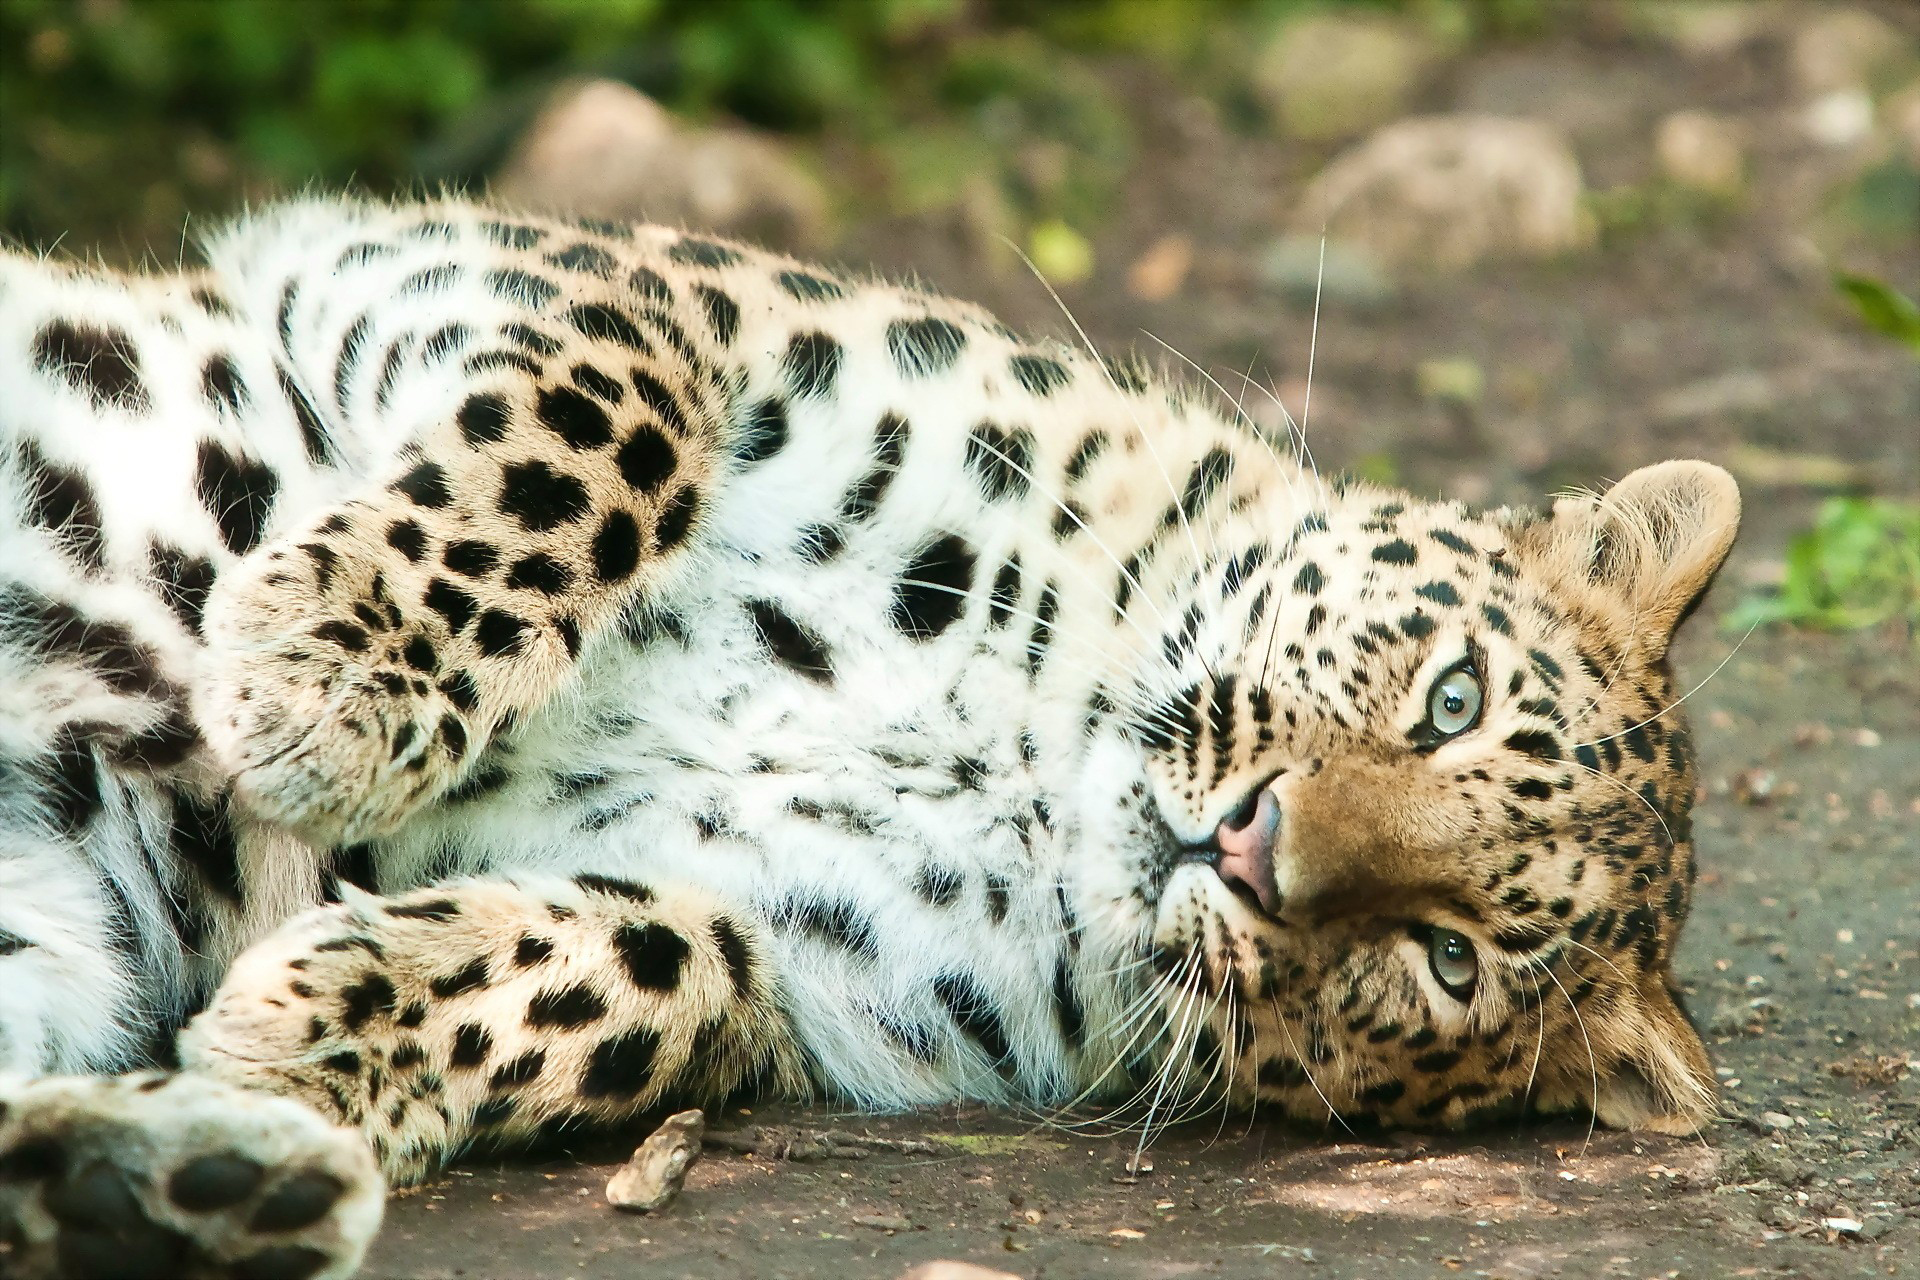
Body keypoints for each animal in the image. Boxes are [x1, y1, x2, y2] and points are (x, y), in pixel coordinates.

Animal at [0, 192, 1743, 1280]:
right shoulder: (472, 267)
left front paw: (304, 1031)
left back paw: (189, 1189)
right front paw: (320, 679)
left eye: (1447, 961)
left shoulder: (812, 975)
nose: (1254, 850)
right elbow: (615, 424)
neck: (1028, 757)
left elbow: (672, 965)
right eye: (1450, 698)